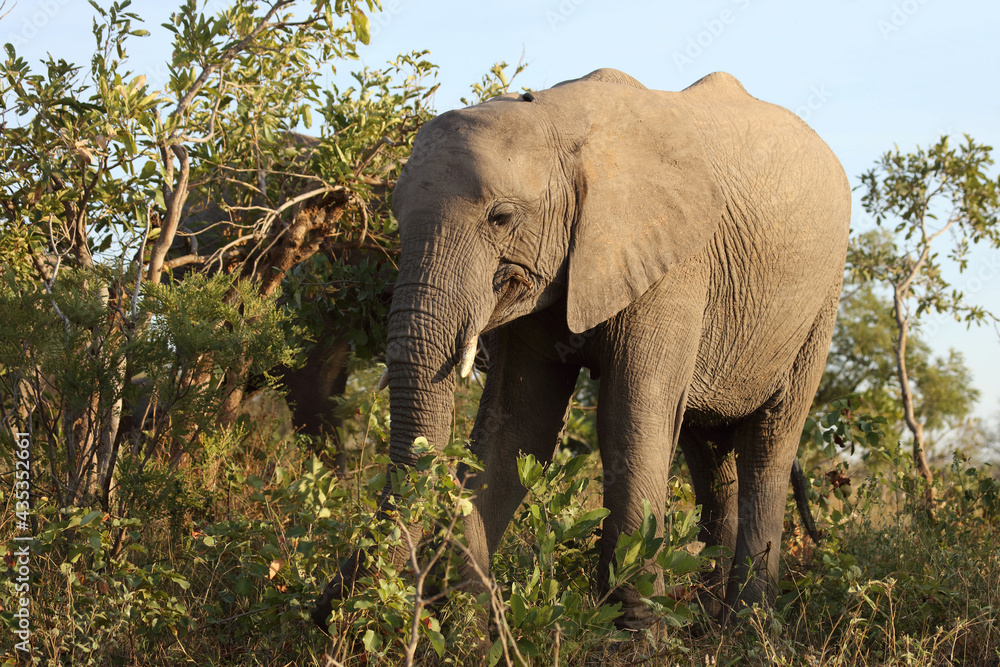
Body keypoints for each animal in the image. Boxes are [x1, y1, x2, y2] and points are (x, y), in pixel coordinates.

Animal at [314, 68, 851, 633]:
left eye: (501, 217)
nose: (324, 615)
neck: (559, 123)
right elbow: (520, 423)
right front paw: (470, 611)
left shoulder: (676, 262)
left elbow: (632, 412)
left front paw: (634, 631)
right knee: (708, 453)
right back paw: (705, 616)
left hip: (821, 305)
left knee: (768, 445)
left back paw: (746, 624)